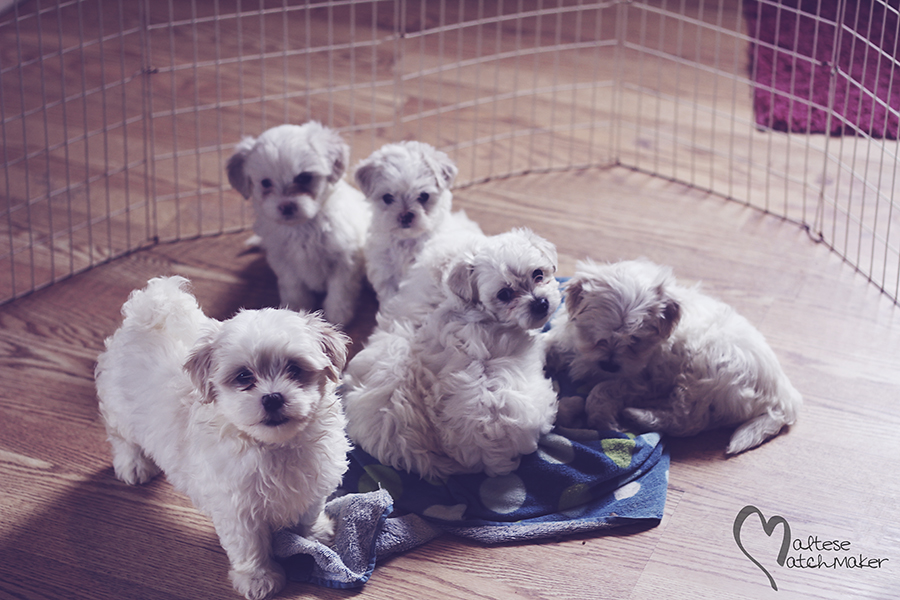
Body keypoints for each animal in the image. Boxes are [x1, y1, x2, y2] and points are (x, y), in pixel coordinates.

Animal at [96, 276, 350, 600]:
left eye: (294, 369)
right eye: (244, 377)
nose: (272, 398)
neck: (274, 445)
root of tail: (147, 311)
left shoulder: (312, 480)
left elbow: (308, 511)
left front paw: (314, 534)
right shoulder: (237, 506)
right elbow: (249, 545)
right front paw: (258, 578)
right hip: (120, 407)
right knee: (121, 436)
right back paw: (133, 465)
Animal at [227, 121, 370, 326]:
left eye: (304, 177)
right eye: (265, 183)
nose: (286, 206)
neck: (302, 227)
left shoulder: (345, 259)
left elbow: (340, 289)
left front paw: (337, 316)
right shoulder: (283, 260)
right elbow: (294, 287)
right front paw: (294, 311)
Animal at [540, 258, 800, 454]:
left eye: (635, 340)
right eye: (596, 333)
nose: (610, 364)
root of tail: (784, 396)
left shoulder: (645, 379)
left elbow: (602, 389)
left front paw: (602, 419)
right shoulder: (568, 340)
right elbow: (547, 344)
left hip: (703, 371)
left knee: (687, 420)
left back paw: (637, 415)